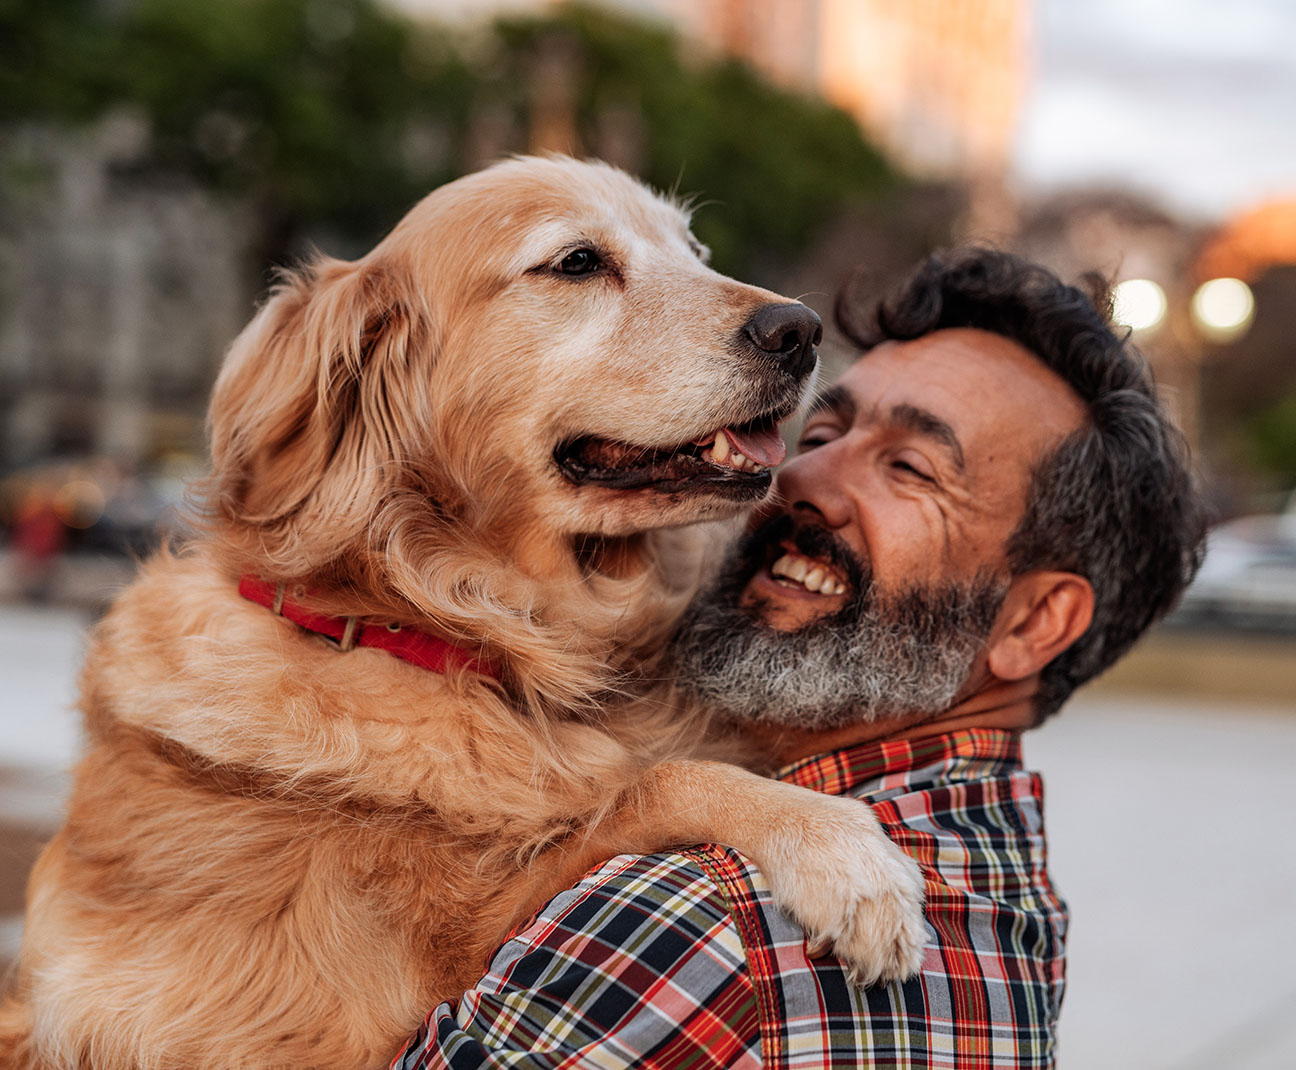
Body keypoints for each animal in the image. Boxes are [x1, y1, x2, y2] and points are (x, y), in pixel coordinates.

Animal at [5, 158, 927, 1067]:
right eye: (577, 262)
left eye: (693, 250)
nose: (800, 329)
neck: (450, 634)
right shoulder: (384, 1007)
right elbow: (656, 784)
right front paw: (847, 856)